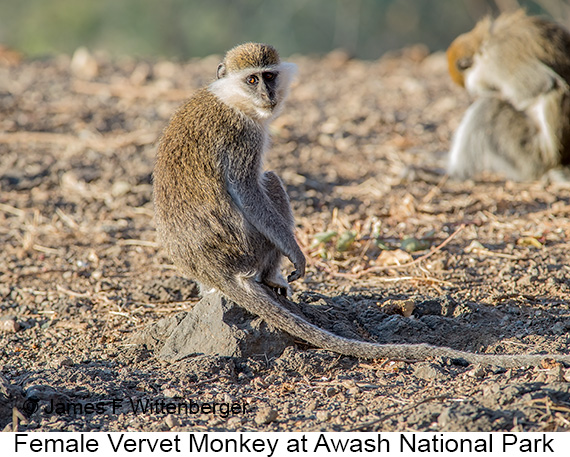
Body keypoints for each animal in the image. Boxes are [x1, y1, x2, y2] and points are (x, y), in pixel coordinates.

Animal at [444, 9, 568, 181]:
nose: (473, 90)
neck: (485, 42)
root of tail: (556, 161)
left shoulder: (496, 59)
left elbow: (538, 86)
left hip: (529, 155)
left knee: (488, 106)